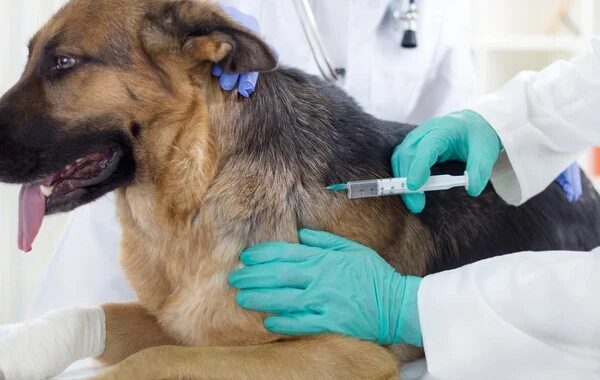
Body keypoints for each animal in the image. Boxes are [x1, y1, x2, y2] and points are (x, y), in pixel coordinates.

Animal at [1, 0, 600, 378]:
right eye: (31, 57)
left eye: (63, 63)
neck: (203, 182)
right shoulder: (181, 320)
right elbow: (92, 313)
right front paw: (22, 349)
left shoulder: (339, 351)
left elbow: (152, 362)